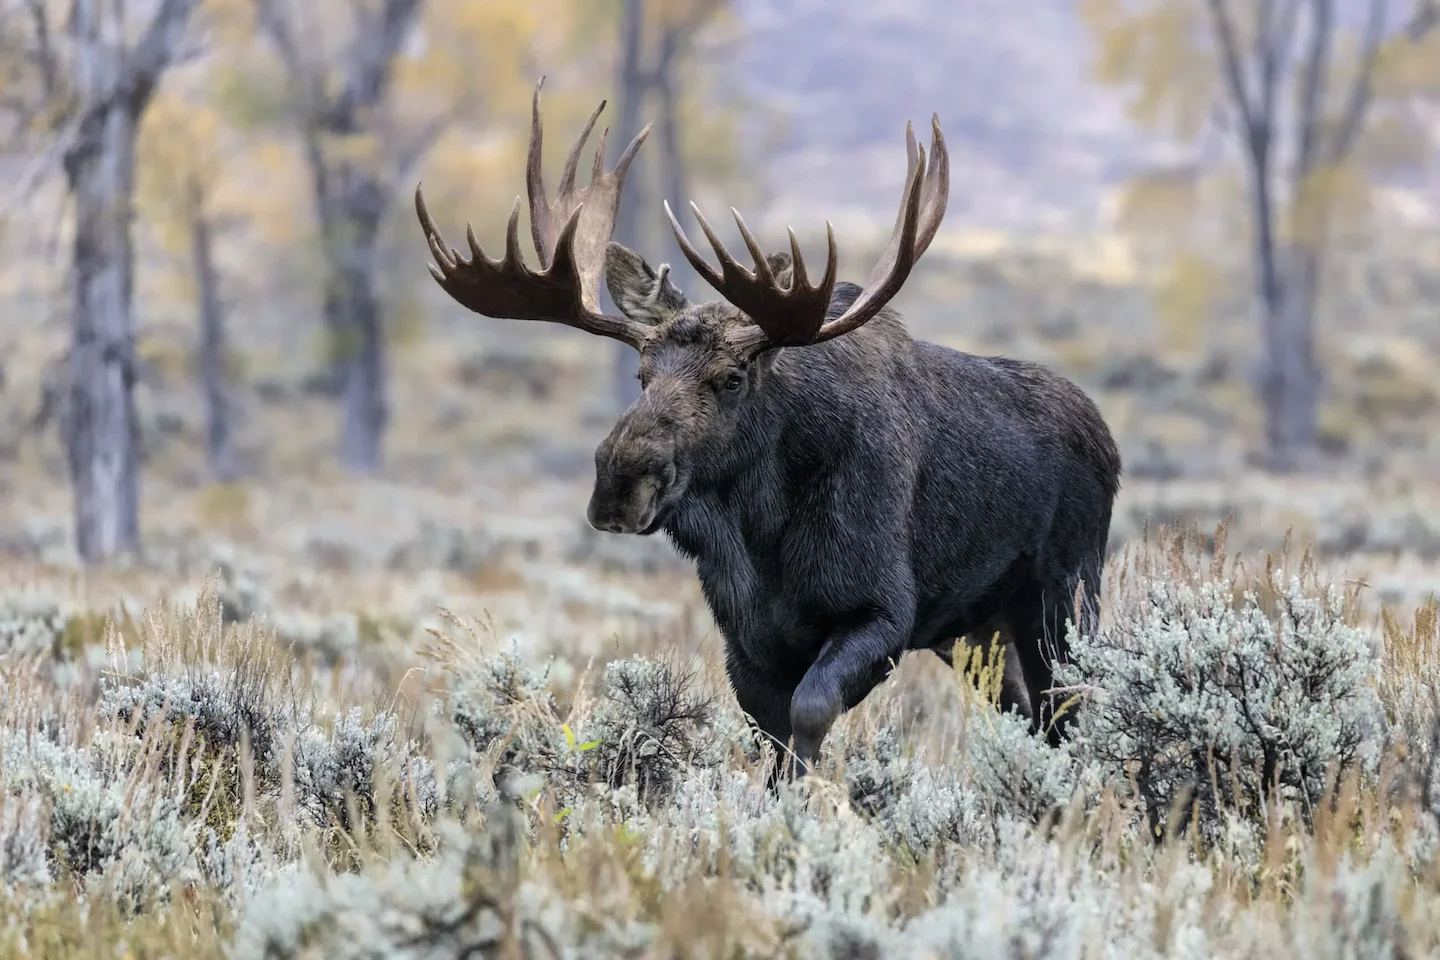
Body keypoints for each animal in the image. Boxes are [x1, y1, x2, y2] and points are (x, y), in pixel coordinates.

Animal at [415, 78, 1122, 779]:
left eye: (732, 378)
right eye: (641, 374)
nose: (619, 483)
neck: (763, 536)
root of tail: (1108, 441)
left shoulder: (885, 611)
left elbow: (809, 717)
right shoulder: (747, 641)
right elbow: (770, 741)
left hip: (1063, 596)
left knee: (1068, 710)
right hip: (977, 631)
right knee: (1031, 715)